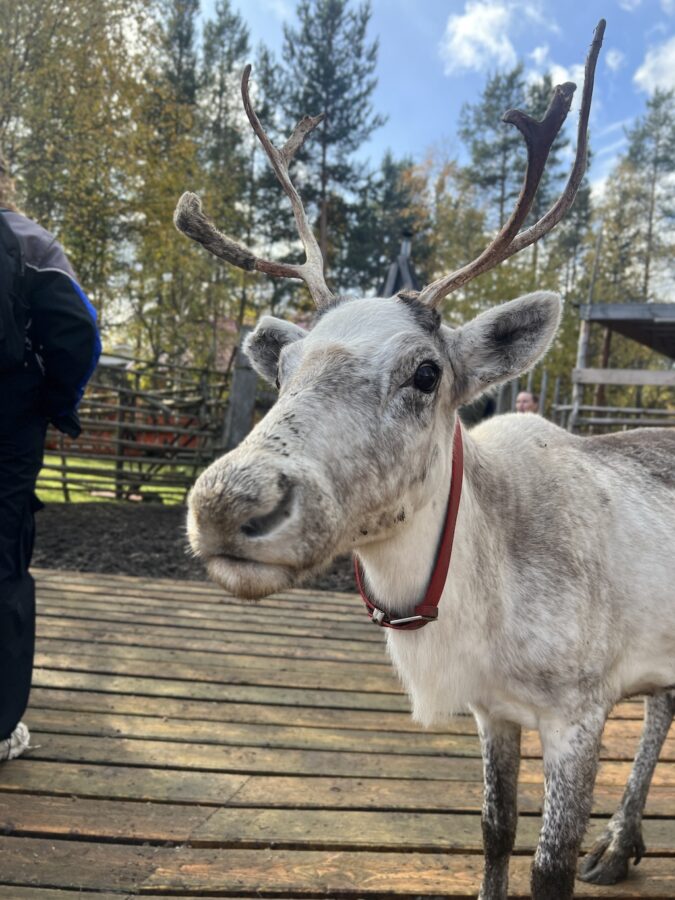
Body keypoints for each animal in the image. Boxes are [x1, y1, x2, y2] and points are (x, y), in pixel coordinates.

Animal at [174, 19, 675, 900]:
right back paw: (623, 846)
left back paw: (615, 845)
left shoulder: (577, 710)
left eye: (426, 372)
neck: (476, 591)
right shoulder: (491, 709)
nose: (228, 503)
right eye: (286, 365)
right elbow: (493, 831)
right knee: (662, 708)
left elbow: (547, 867)